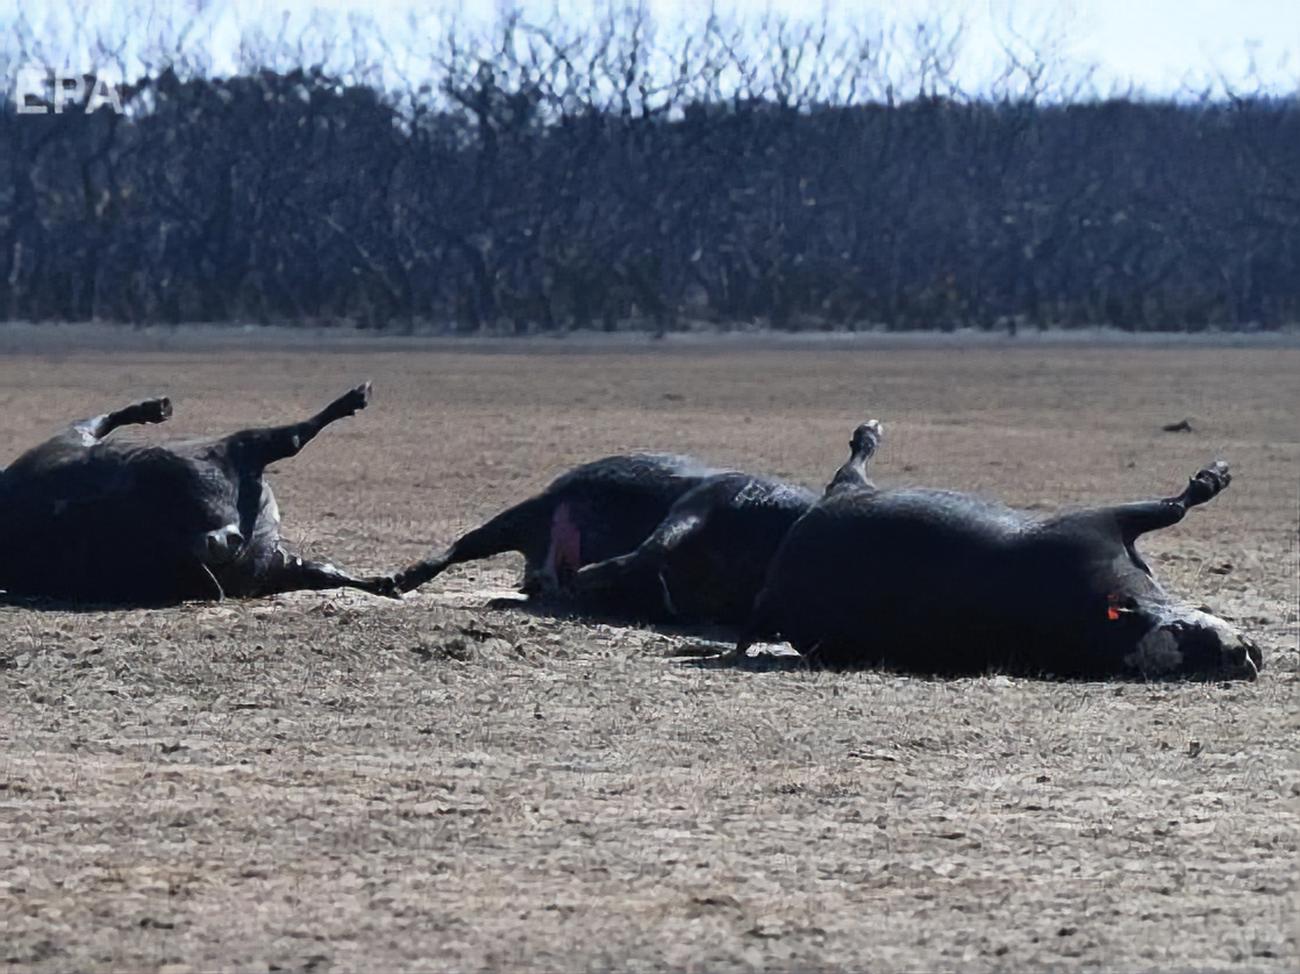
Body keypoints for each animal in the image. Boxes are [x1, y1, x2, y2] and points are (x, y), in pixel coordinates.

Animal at [738, 447, 1263, 676]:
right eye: (1184, 635)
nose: (1239, 659)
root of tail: (772, 595)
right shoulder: (1100, 525)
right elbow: (1177, 505)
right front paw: (1214, 475)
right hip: (847, 488)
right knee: (852, 465)